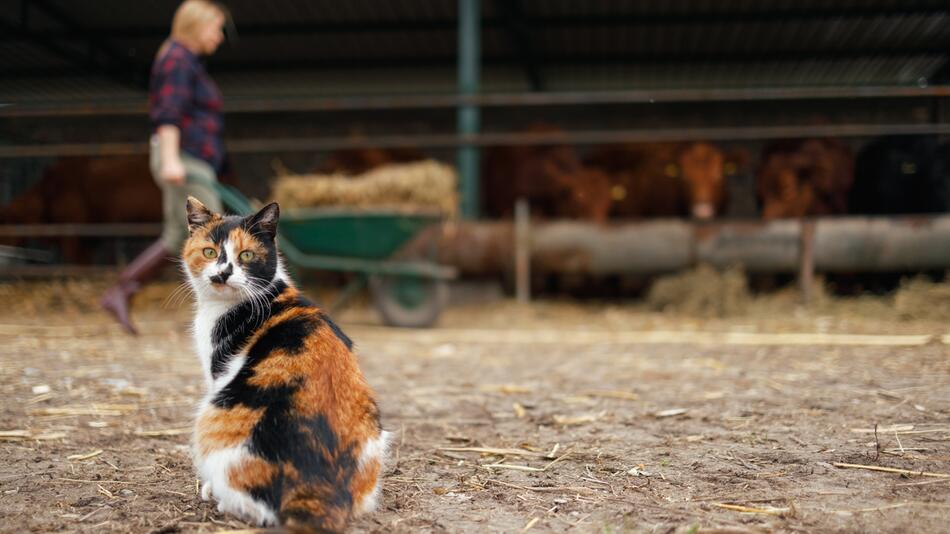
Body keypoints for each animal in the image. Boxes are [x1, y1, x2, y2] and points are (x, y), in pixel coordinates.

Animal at [180, 199, 388, 532]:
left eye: (246, 255)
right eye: (209, 252)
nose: (223, 274)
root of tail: (316, 482)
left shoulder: (217, 372)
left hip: (214, 416)